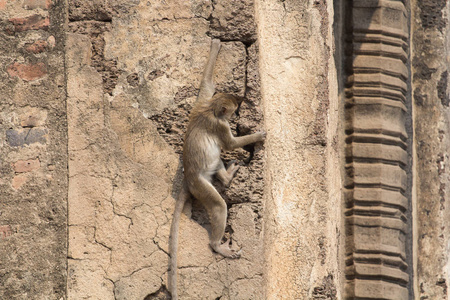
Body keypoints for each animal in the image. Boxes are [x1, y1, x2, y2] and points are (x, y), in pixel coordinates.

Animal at [169, 38, 268, 298]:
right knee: (218, 205)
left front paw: (216, 47)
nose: (238, 114)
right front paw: (258, 135)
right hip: (200, 187)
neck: (211, 108)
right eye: (233, 112)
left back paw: (225, 176)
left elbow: (206, 84)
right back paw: (217, 245)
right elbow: (231, 143)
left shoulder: (202, 101)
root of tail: (188, 180)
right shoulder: (220, 125)